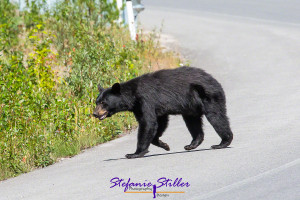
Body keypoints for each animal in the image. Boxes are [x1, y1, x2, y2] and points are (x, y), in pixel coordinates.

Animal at [92, 66, 233, 159]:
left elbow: (148, 123)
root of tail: (214, 80)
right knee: (193, 122)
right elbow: (159, 123)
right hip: (191, 107)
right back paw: (192, 144)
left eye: (103, 103)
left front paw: (134, 153)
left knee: (216, 117)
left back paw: (222, 142)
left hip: (209, 96)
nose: (94, 114)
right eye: (96, 102)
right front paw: (165, 145)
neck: (132, 96)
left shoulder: (146, 100)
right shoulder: (142, 107)